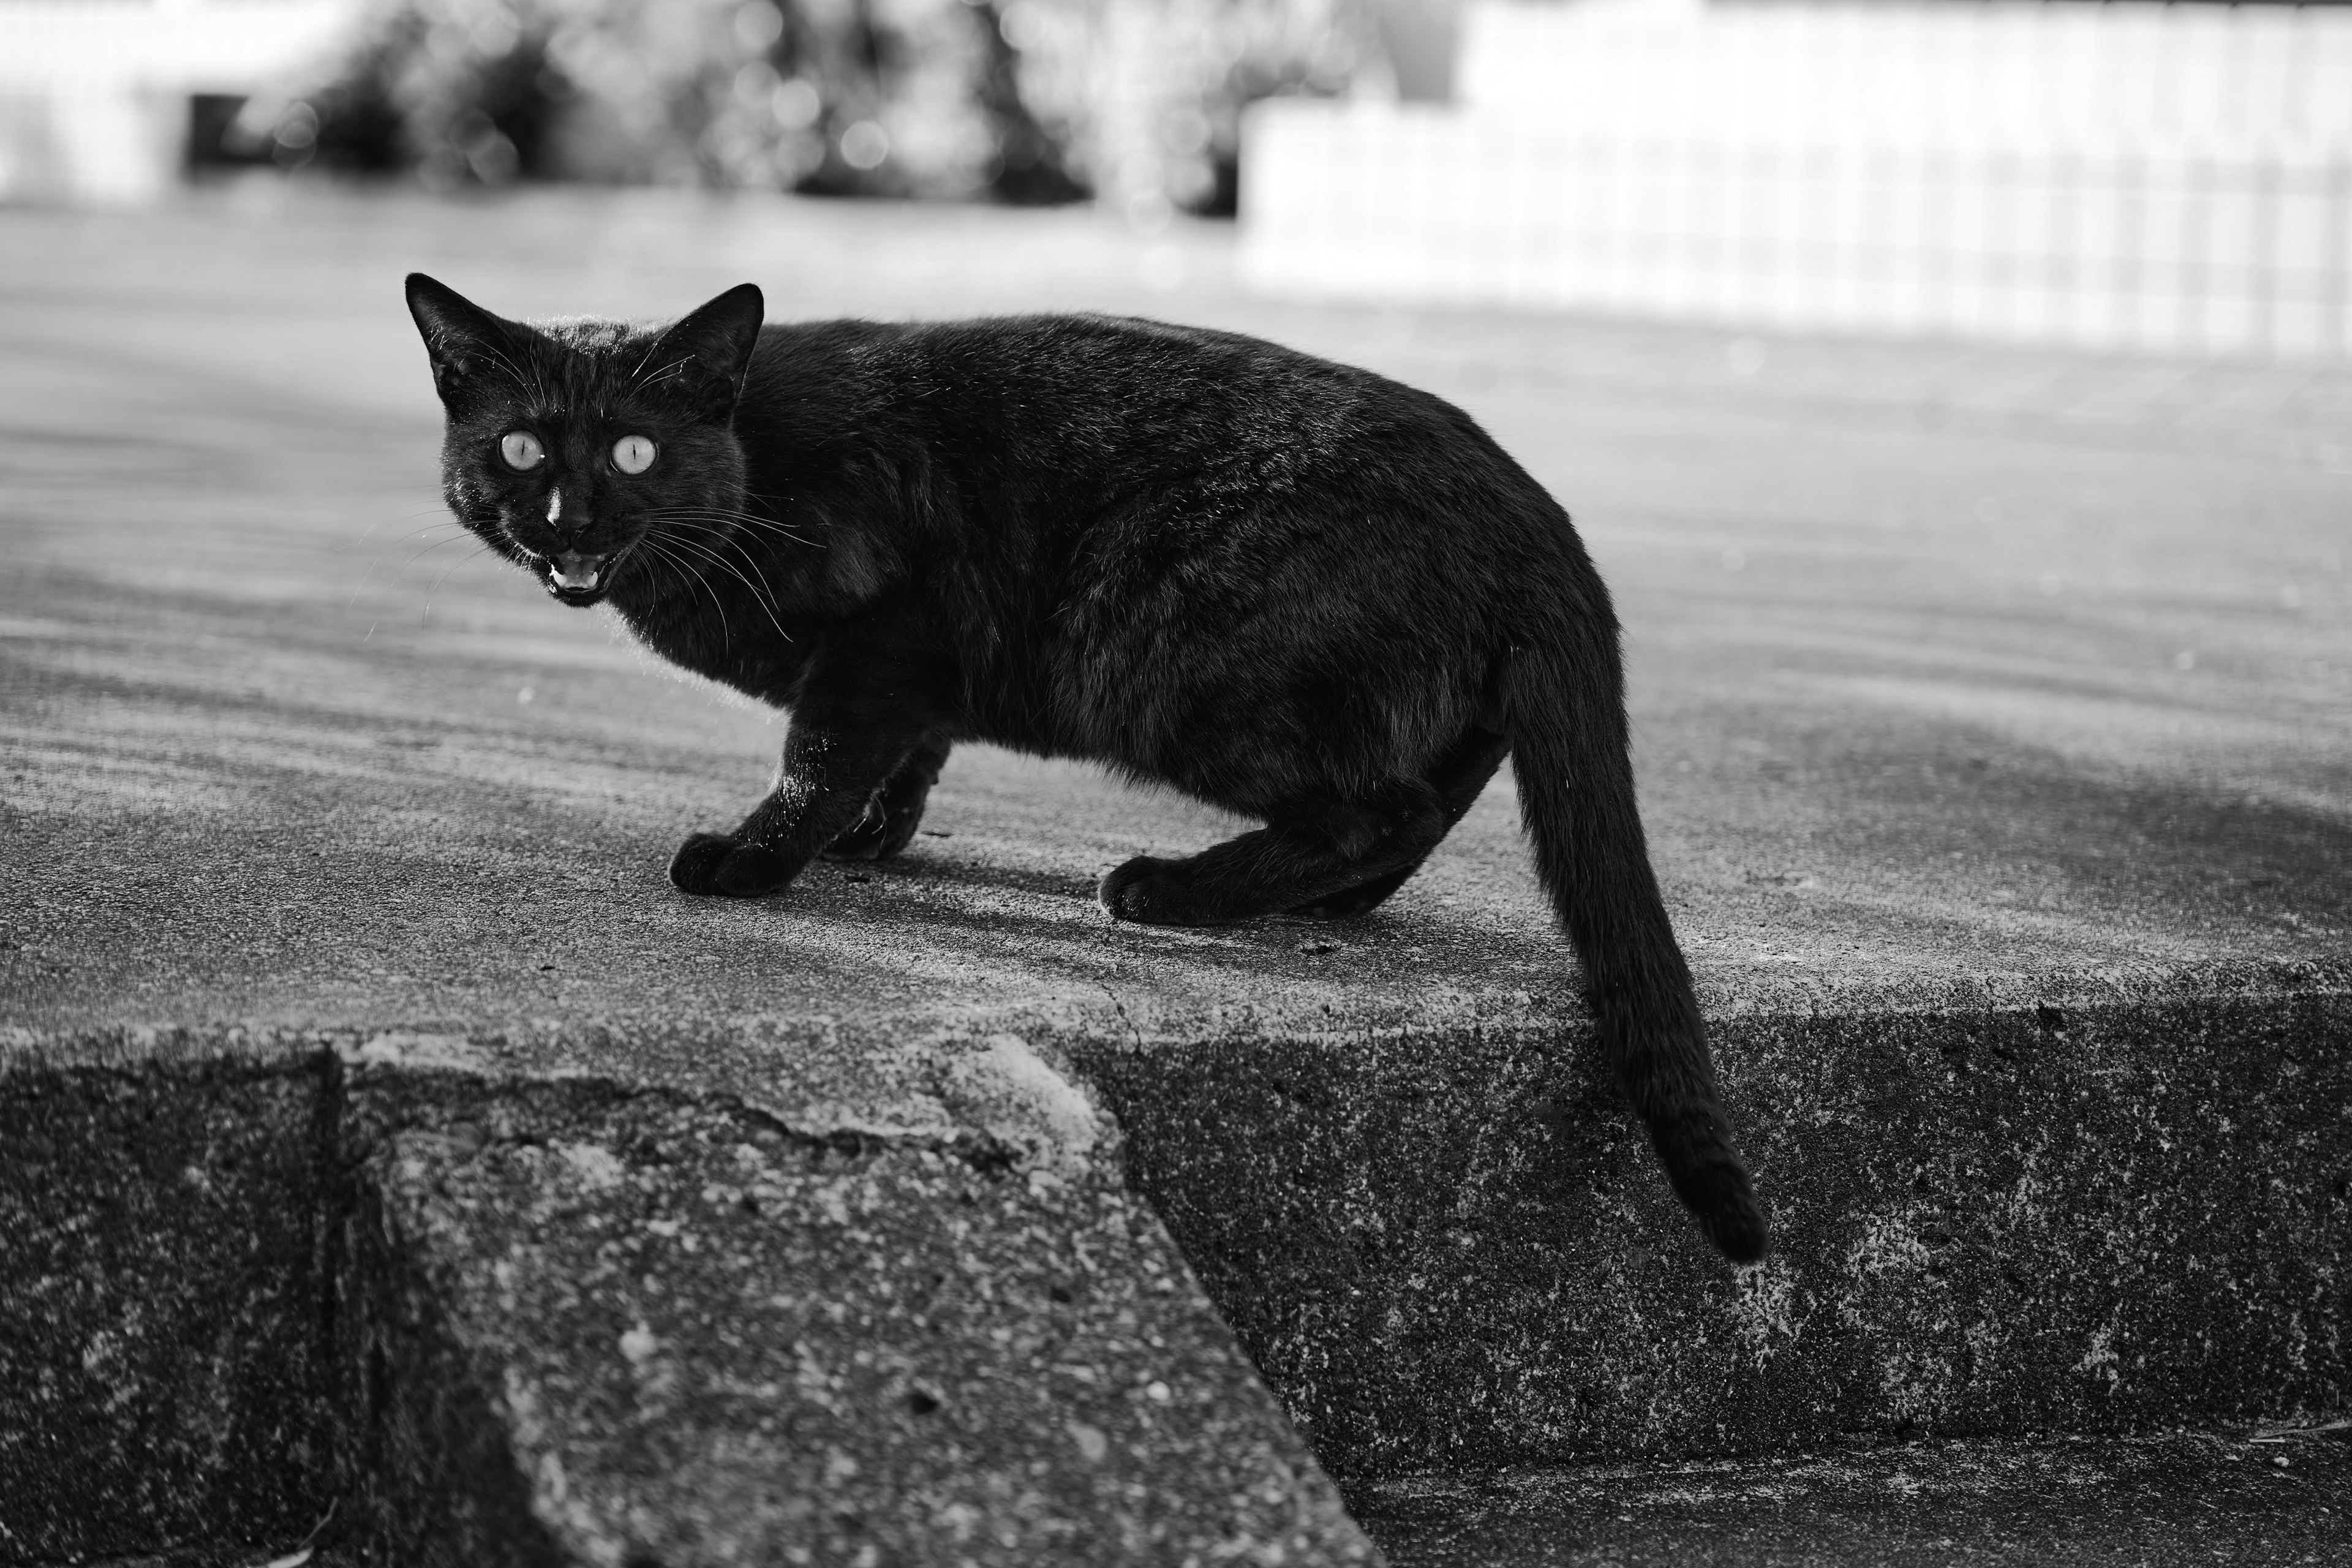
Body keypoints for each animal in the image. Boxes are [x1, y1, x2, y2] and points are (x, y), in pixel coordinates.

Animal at [404, 273, 1768, 1260]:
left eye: (632, 453)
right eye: (523, 450)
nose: (569, 519)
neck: (752, 466)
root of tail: (1536, 509)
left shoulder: (886, 624)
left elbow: (823, 751)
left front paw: (757, 853)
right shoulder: (919, 672)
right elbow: (908, 752)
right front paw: (871, 837)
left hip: (1174, 663)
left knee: (1381, 805)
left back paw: (1177, 888)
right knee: (1430, 795)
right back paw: (1317, 899)